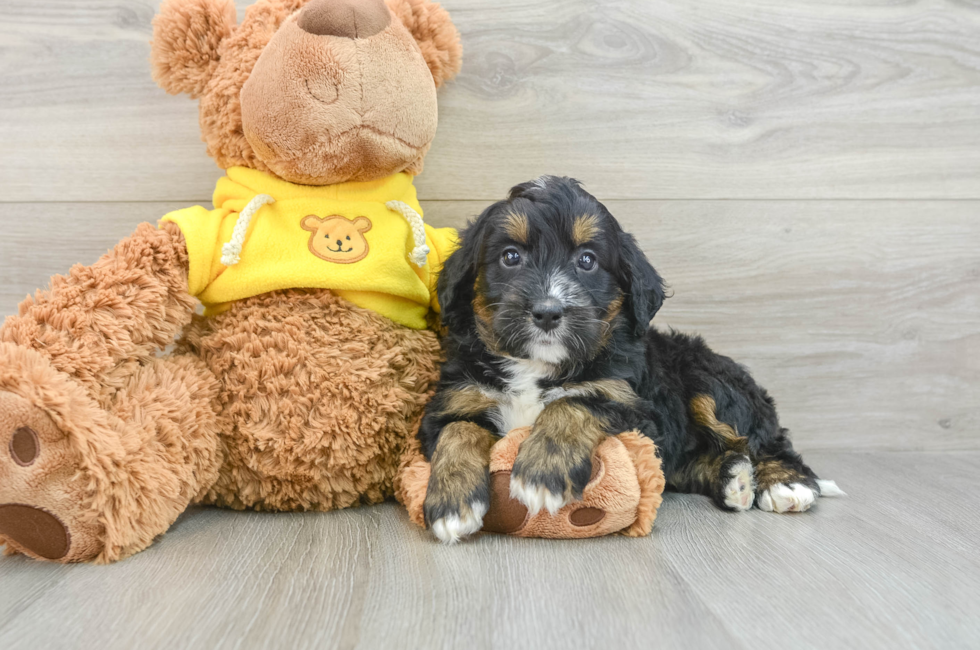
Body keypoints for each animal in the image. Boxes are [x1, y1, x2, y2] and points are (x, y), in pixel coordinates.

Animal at [420, 176, 844, 540]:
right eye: (510, 257)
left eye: (587, 260)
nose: (547, 312)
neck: (536, 366)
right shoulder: (453, 401)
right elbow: (458, 431)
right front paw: (452, 503)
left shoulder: (636, 408)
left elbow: (575, 402)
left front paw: (542, 471)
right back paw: (734, 479)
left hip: (710, 383)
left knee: (768, 439)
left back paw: (784, 482)